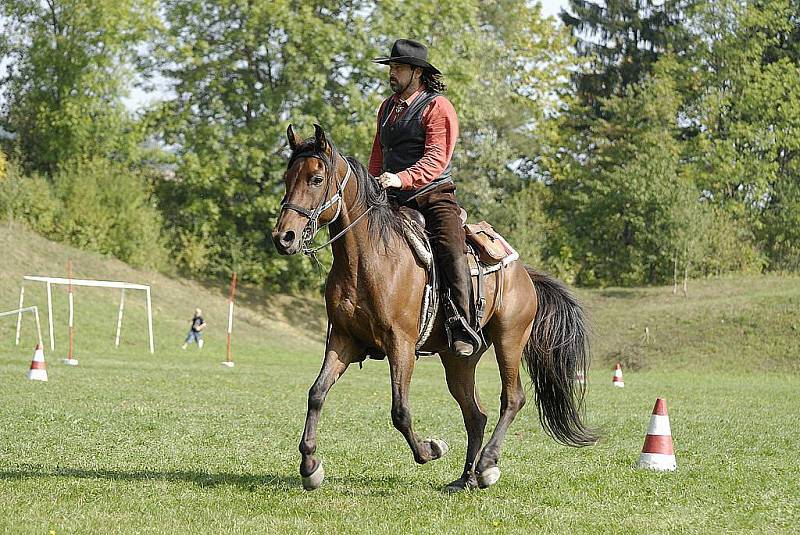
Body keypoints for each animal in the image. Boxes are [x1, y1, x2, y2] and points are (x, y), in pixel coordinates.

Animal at [274, 123, 592, 492]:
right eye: (287, 177)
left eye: (316, 178)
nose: (283, 237)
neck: (369, 258)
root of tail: (524, 273)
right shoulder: (343, 339)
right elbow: (316, 393)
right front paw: (310, 466)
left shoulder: (401, 344)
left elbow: (400, 411)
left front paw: (430, 450)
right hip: (459, 358)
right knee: (475, 414)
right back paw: (465, 478)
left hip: (510, 339)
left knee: (512, 398)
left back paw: (487, 466)